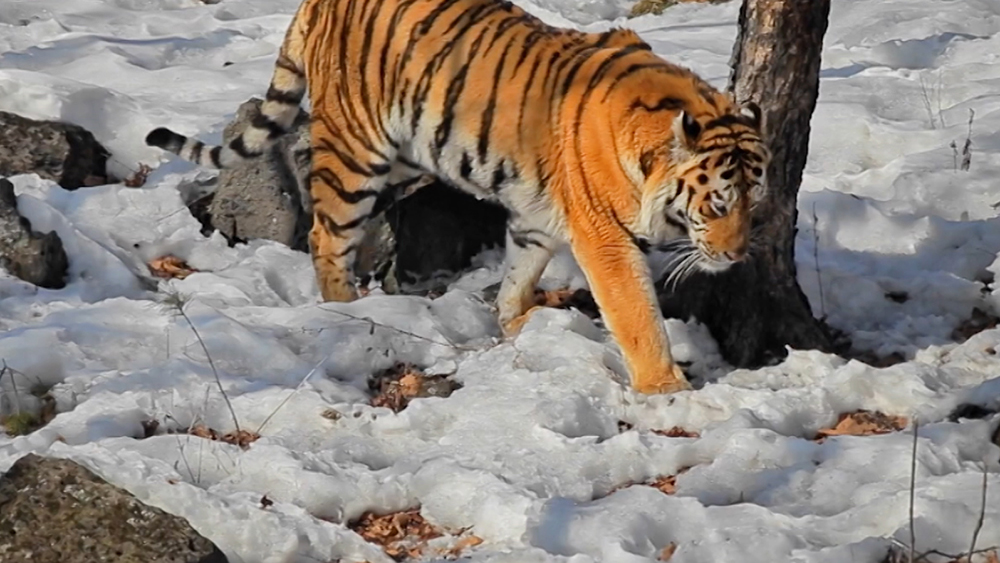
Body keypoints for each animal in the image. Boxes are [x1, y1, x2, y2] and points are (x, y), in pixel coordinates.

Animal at [146, 0, 772, 394]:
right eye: (718, 203)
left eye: (754, 201)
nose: (738, 254)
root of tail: (318, 3)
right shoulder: (604, 236)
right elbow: (636, 312)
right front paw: (666, 391)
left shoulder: (538, 214)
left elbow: (522, 268)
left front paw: (515, 323)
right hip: (355, 150)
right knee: (328, 231)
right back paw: (348, 307)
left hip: (403, 156)